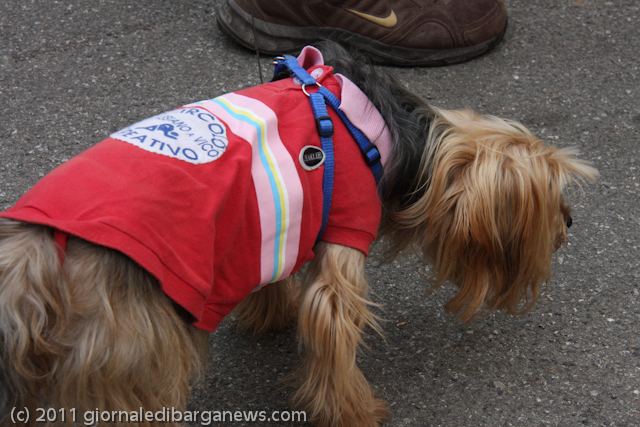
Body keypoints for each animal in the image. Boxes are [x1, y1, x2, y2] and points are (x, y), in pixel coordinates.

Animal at [0, 43, 597, 427]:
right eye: (550, 198)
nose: (570, 222)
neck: (390, 130)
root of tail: (33, 256)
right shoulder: (347, 227)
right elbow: (332, 329)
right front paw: (354, 411)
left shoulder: (271, 222)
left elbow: (272, 270)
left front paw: (269, 314)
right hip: (130, 359)